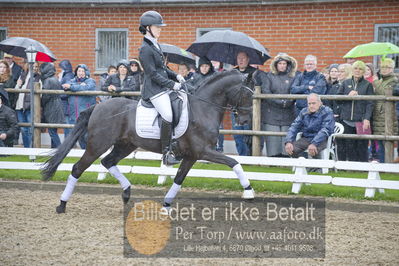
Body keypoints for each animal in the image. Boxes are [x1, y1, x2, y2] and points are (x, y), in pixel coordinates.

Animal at [42, 69, 256, 213]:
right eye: (247, 94)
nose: (245, 121)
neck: (203, 108)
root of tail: (98, 107)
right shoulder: (202, 151)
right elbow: (233, 162)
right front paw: (249, 191)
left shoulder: (192, 156)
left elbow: (179, 179)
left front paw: (166, 206)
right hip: (98, 145)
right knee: (78, 168)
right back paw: (61, 205)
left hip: (125, 145)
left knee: (108, 161)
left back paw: (127, 192)